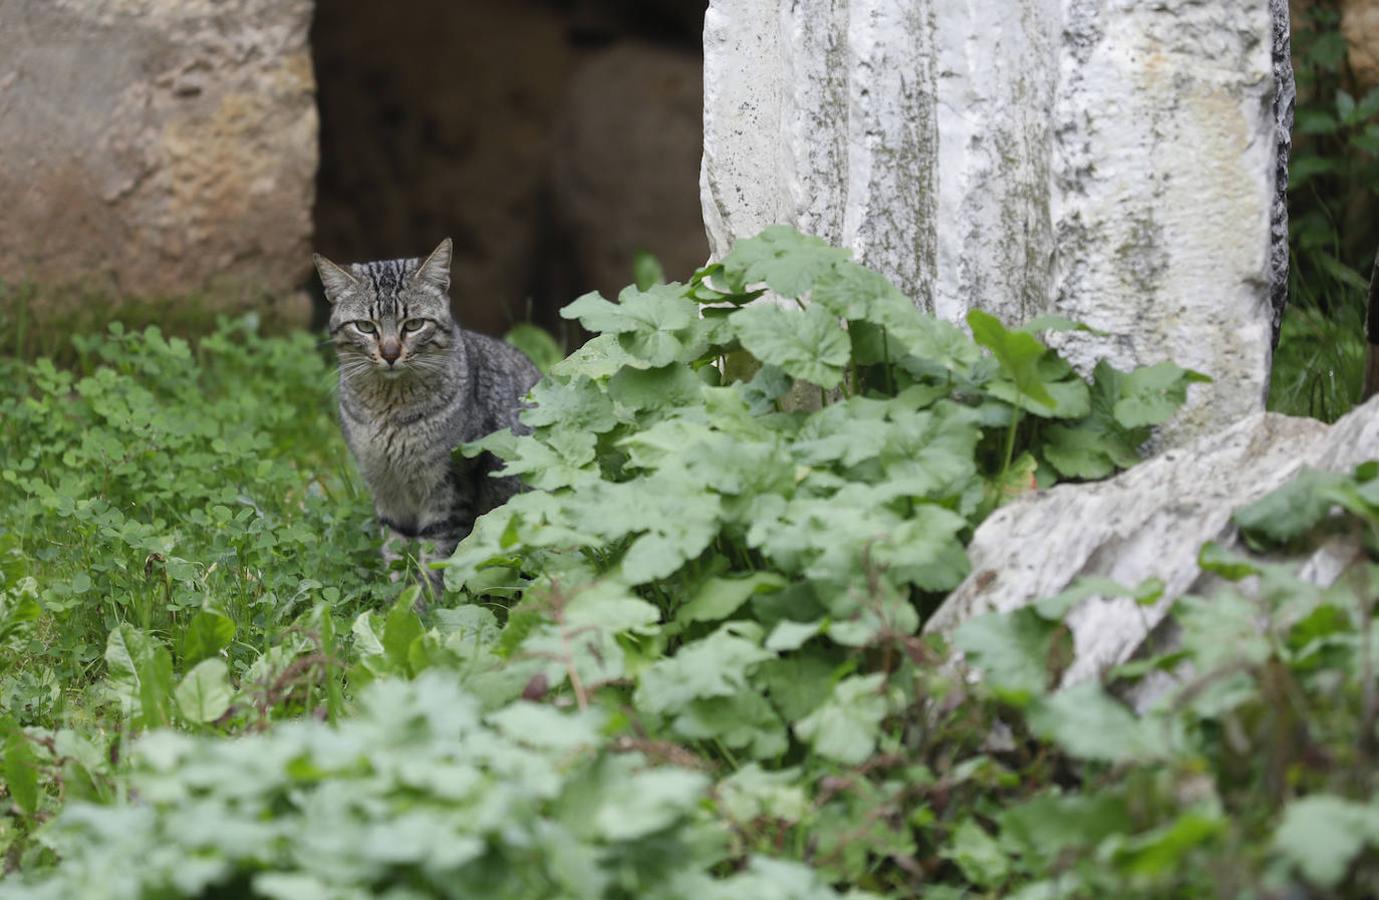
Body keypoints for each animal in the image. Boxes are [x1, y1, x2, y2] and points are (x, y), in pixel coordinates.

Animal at [315, 237, 540, 595]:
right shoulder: (384, 486)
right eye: (365, 327)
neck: (389, 414)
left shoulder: (448, 488)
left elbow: (435, 559)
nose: (390, 353)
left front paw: (427, 601)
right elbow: (395, 551)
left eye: (413, 325)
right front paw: (396, 596)